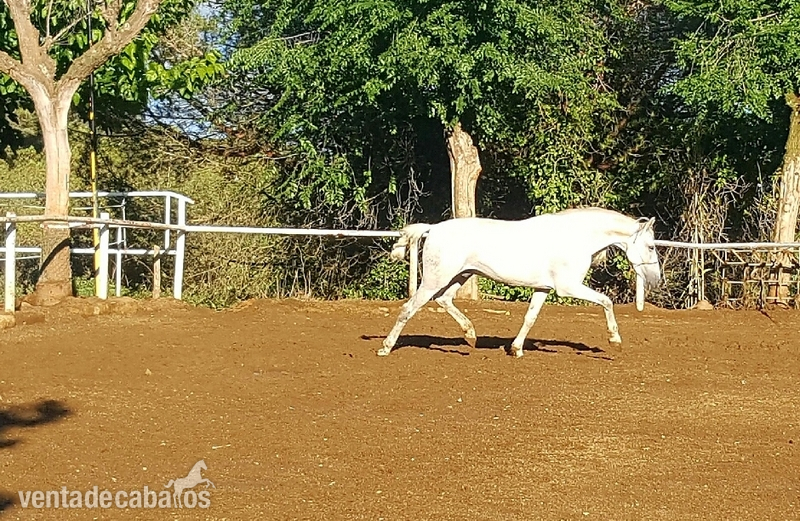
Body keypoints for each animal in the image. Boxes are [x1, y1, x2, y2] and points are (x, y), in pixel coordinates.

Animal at [379, 207, 661, 357]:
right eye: (650, 246)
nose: (656, 279)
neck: (576, 237)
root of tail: (433, 228)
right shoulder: (567, 287)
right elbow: (606, 301)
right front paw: (615, 340)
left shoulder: (543, 288)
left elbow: (530, 317)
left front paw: (516, 349)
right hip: (435, 278)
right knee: (409, 308)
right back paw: (385, 348)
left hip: (461, 275)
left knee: (444, 299)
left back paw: (470, 336)